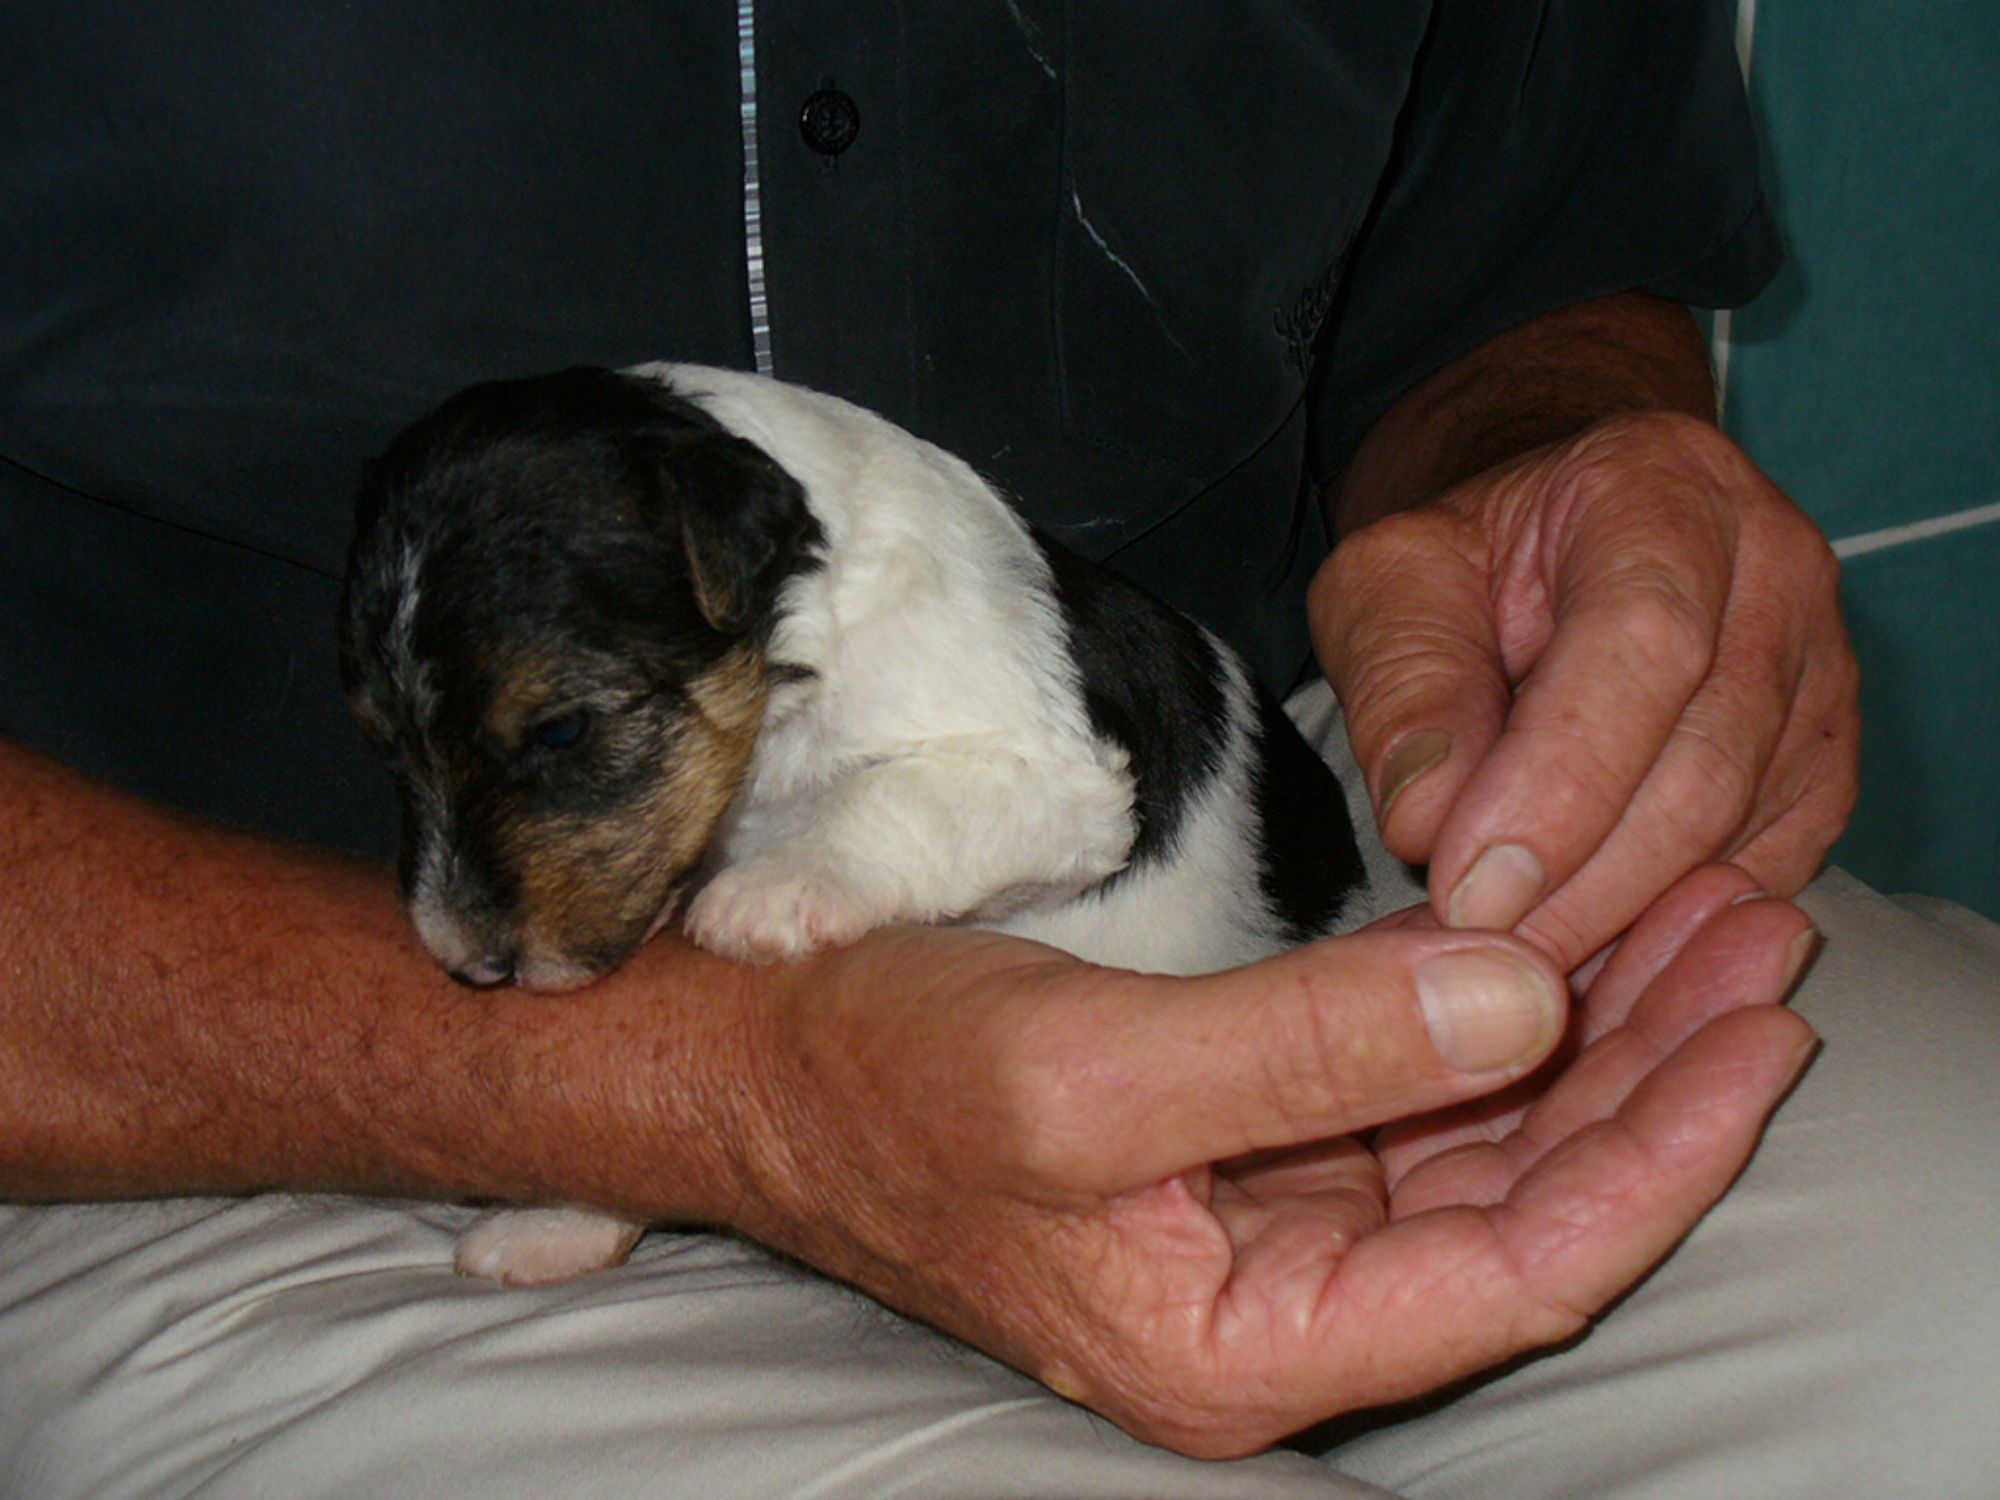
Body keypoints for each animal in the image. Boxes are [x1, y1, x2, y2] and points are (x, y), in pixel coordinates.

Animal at [340, 362, 1367, 1283]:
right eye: (381, 746)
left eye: (562, 728)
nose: (468, 964)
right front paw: (552, 1224)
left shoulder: (1060, 785)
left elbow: (885, 794)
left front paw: (771, 890)